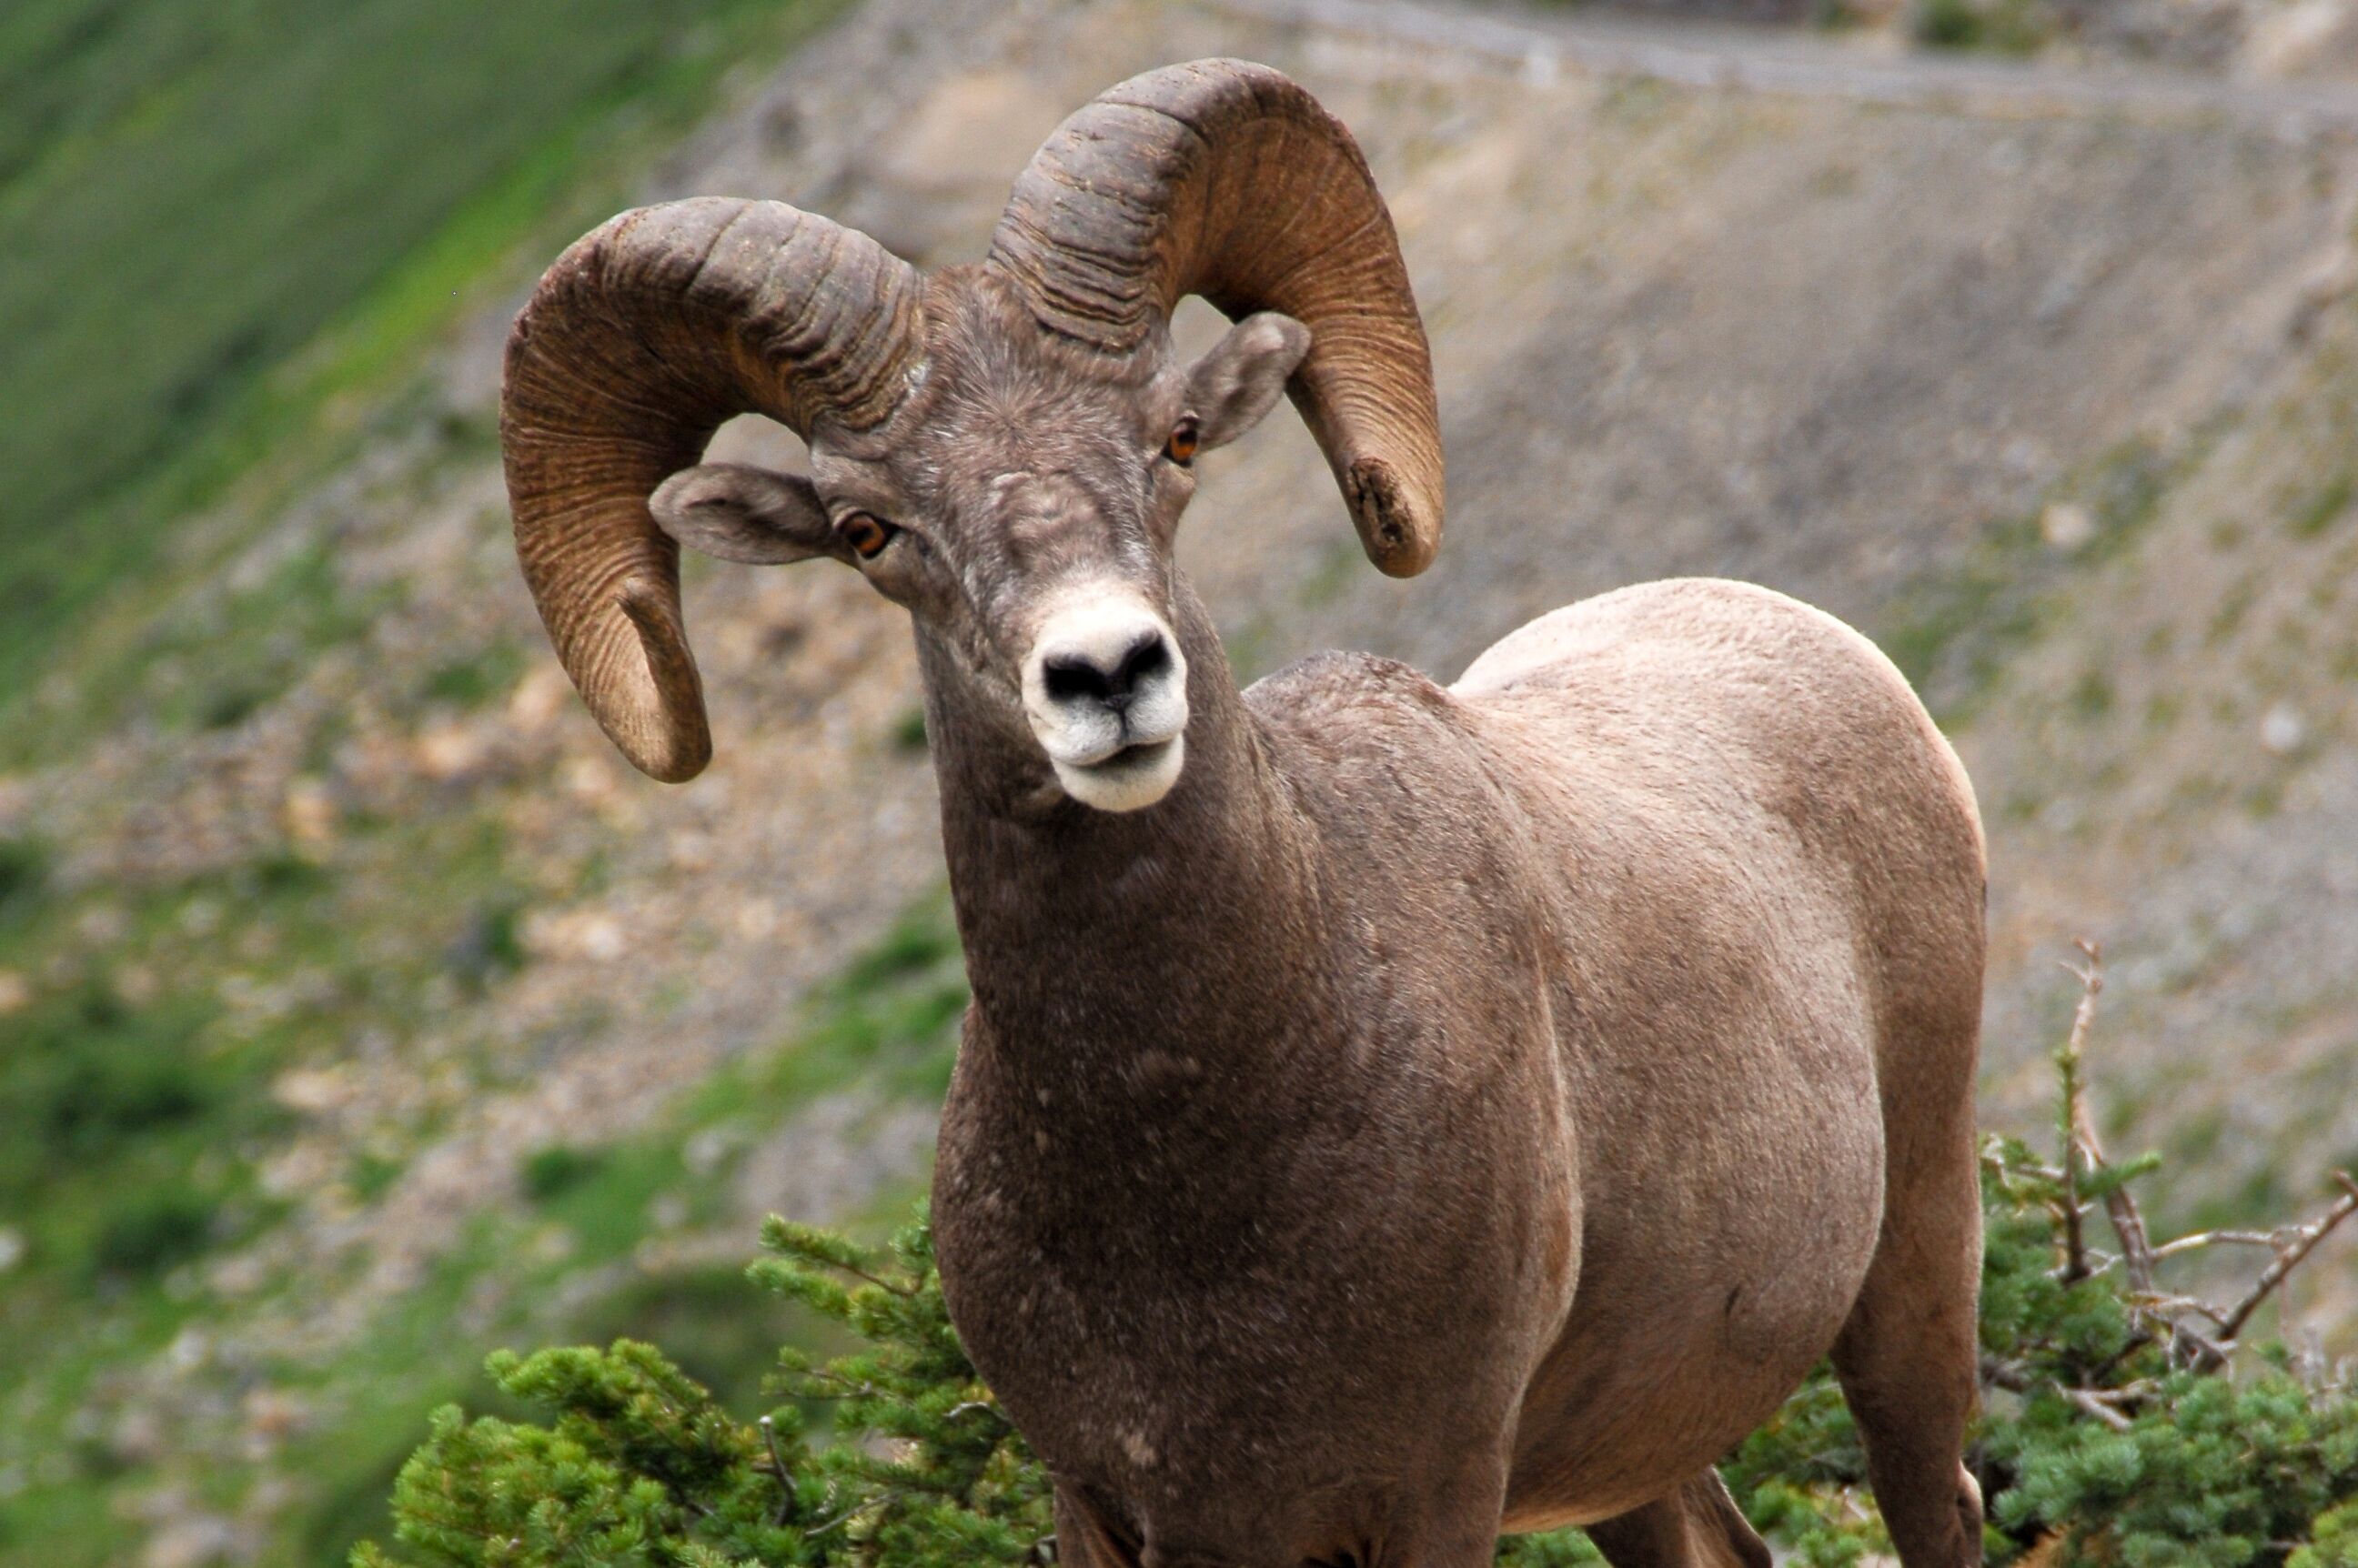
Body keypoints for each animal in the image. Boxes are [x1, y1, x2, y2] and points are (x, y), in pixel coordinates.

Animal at [502, 57, 1990, 1565]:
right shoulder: (1115, 1506)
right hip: (1627, 1462)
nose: (1108, 674)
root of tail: (1822, 646)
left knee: (1937, 1491)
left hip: (1915, 1250)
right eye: (869, 530)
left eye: (1171, 439)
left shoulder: (1434, 1491)